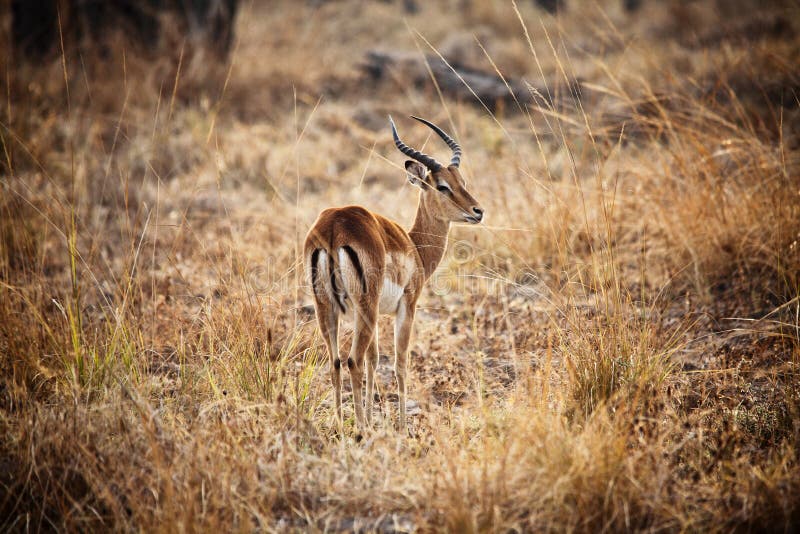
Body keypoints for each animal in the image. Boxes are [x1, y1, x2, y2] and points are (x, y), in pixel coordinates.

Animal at [304, 115, 484, 433]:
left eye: (461, 182)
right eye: (442, 186)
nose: (477, 211)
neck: (414, 246)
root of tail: (334, 225)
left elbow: (375, 360)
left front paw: (373, 418)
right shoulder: (407, 306)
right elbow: (400, 363)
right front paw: (400, 425)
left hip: (327, 307)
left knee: (336, 361)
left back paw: (340, 424)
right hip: (365, 307)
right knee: (352, 361)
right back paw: (360, 430)